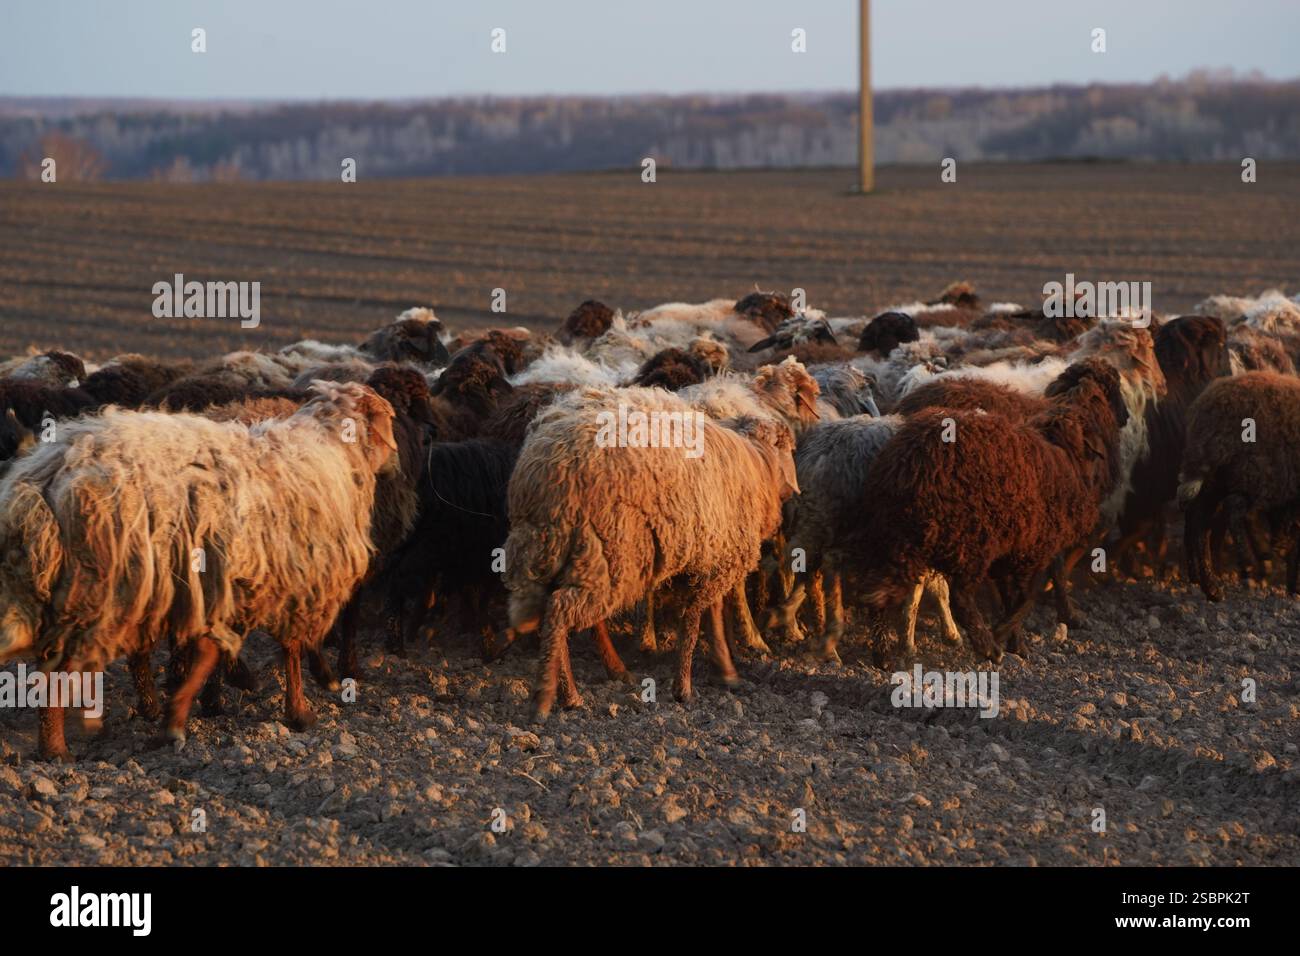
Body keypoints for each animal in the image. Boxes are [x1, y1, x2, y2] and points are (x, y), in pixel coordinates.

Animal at [0, 381, 398, 759]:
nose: (395, 460)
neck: (334, 448)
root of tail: (43, 480)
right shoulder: (300, 580)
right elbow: (292, 648)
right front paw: (301, 709)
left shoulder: (228, 585)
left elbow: (210, 652)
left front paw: (179, 716)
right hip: (102, 587)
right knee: (59, 671)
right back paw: (57, 749)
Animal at [503, 385, 799, 719]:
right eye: (788, 450)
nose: (794, 494)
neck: (757, 463)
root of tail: (542, 472)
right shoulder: (719, 562)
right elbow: (693, 620)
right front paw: (684, 688)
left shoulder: (714, 558)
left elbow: (710, 617)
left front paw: (724, 671)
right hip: (611, 552)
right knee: (559, 611)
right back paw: (550, 697)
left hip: (566, 553)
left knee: (558, 613)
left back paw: (585, 685)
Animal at [845, 359, 1129, 662]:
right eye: (1114, 388)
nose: (1126, 417)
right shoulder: (1035, 539)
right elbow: (1037, 586)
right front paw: (1044, 622)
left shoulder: (1022, 539)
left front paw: (1018, 635)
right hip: (969, 538)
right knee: (957, 594)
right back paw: (984, 645)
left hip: (902, 532)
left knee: (883, 586)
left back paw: (887, 650)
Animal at [1178, 372, 1300, 602]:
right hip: (1252, 468)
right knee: (1232, 508)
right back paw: (1250, 567)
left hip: (1220, 475)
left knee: (1198, 515)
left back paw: (1206, 584)